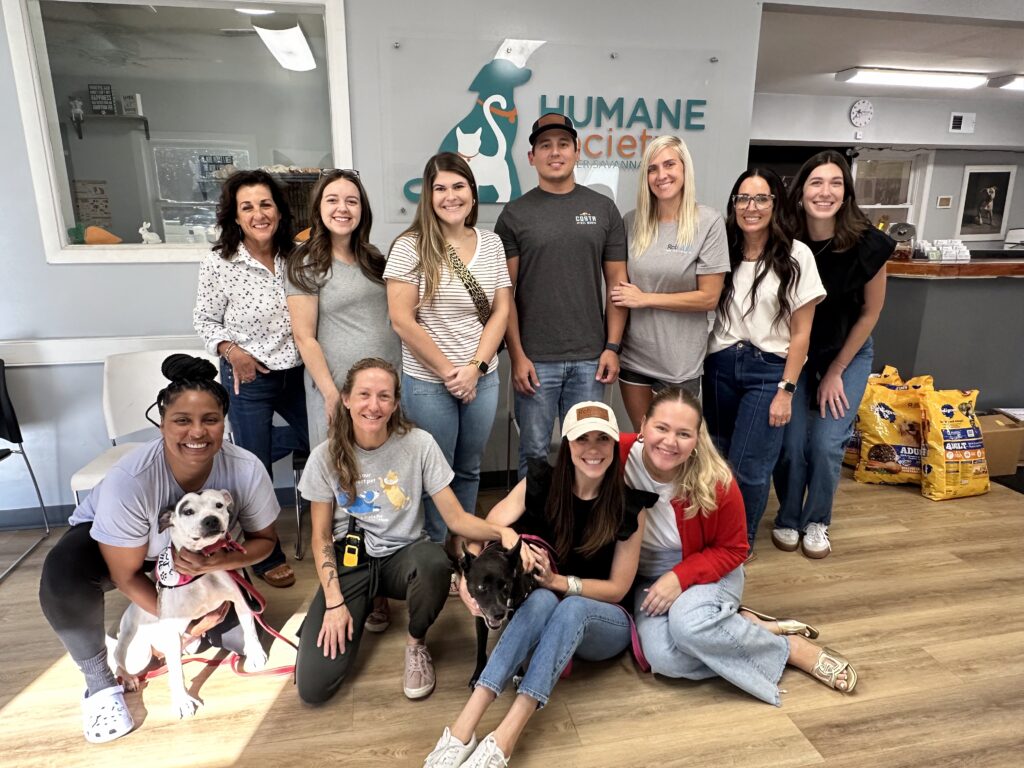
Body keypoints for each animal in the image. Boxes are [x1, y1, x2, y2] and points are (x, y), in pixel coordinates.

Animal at [112, 490, 267, 718]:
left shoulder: (240, 600)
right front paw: (182, 701)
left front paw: (255, 653)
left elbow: (250, 630)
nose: (211, 520)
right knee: (118, 659)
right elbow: (177, 673)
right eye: (187, 511)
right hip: (137, 653)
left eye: (219, 505)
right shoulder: (172, 631)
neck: (201, 574)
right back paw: (128, 678)